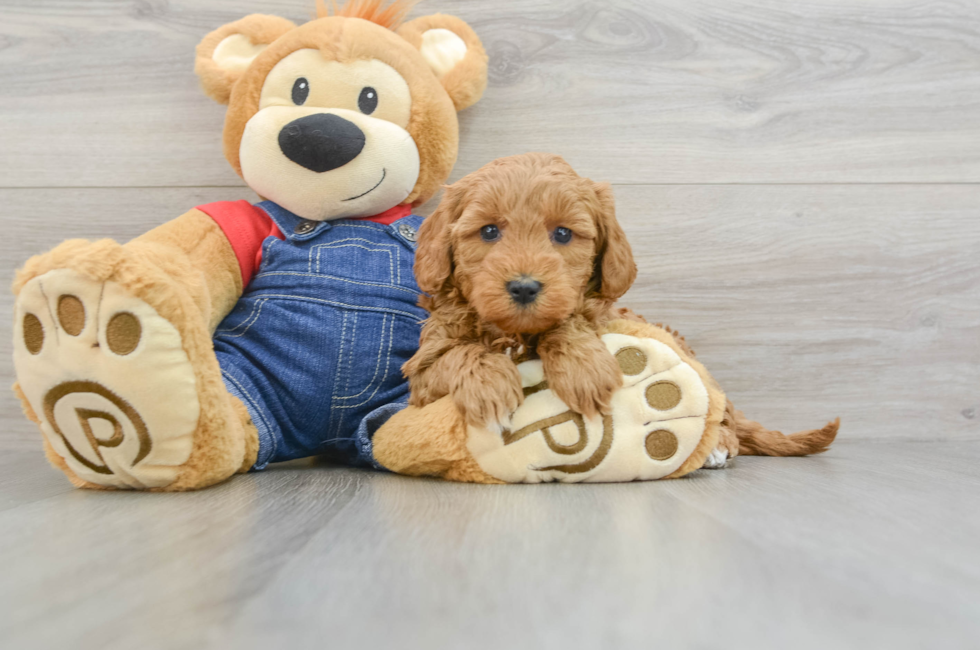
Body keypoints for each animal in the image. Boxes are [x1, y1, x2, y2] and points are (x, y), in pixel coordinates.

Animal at [404, 153, 636, 426]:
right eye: (489, 231)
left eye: (563, 233)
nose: (524, 288)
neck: (515, 334)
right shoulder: (422, 371)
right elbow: (457, 352)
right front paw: (488, 383)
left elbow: (571, 319)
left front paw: (584, 366)